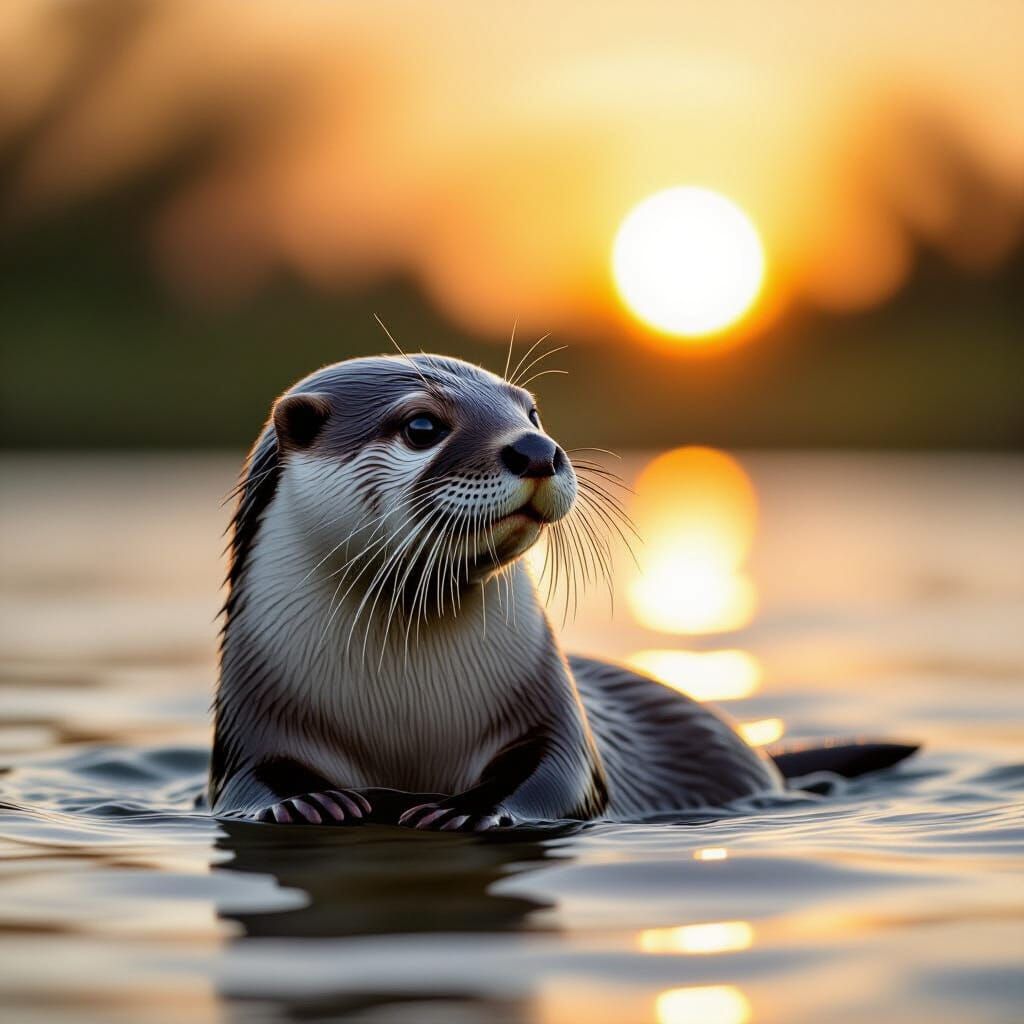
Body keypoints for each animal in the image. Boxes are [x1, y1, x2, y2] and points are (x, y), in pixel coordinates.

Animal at [210, 351, 916, 829]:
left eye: (530, 411)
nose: (536, 449)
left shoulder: (553, 712)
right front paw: (307, 800)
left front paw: (465, 812)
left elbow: (557, 774)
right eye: (421, 426)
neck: (406, 717)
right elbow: (244, 786)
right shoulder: (247, 725)